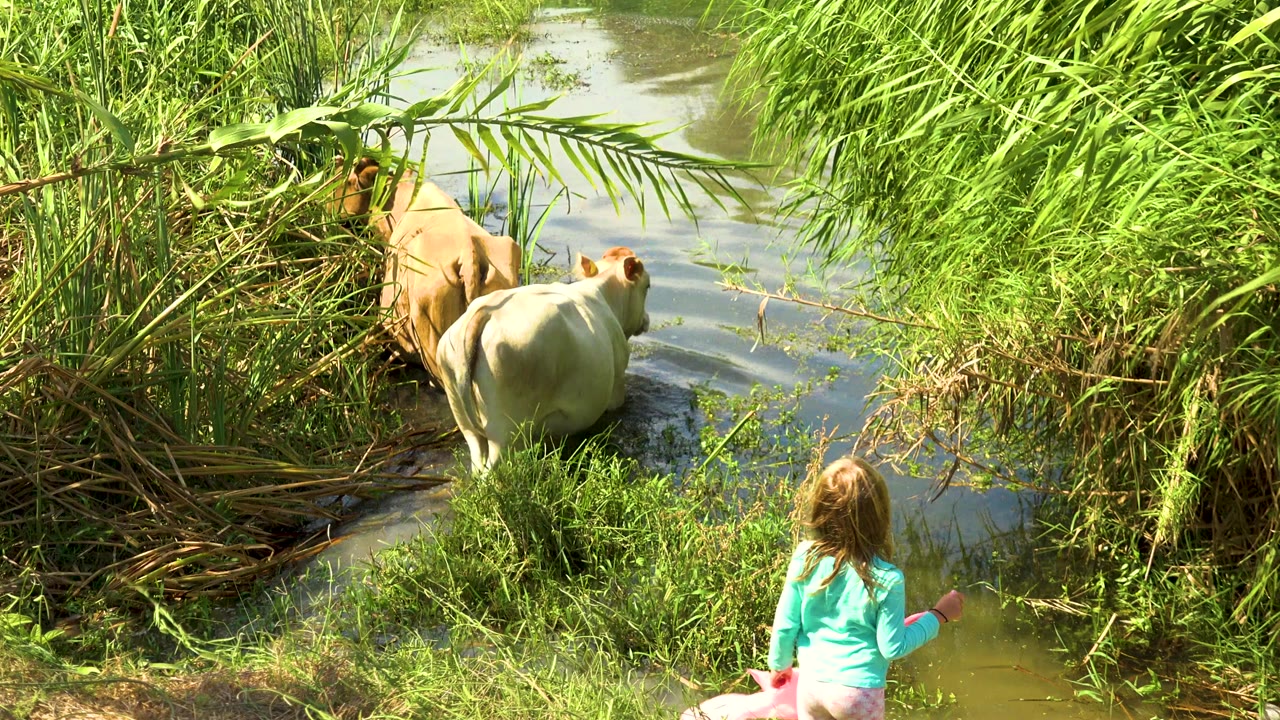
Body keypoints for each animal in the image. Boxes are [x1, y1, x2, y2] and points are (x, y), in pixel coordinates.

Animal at [435, 247, 651, 474]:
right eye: (647, 286)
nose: (646, 320)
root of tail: (486, 311)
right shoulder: (617, 388)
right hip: (507, 434)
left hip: (465, 419)